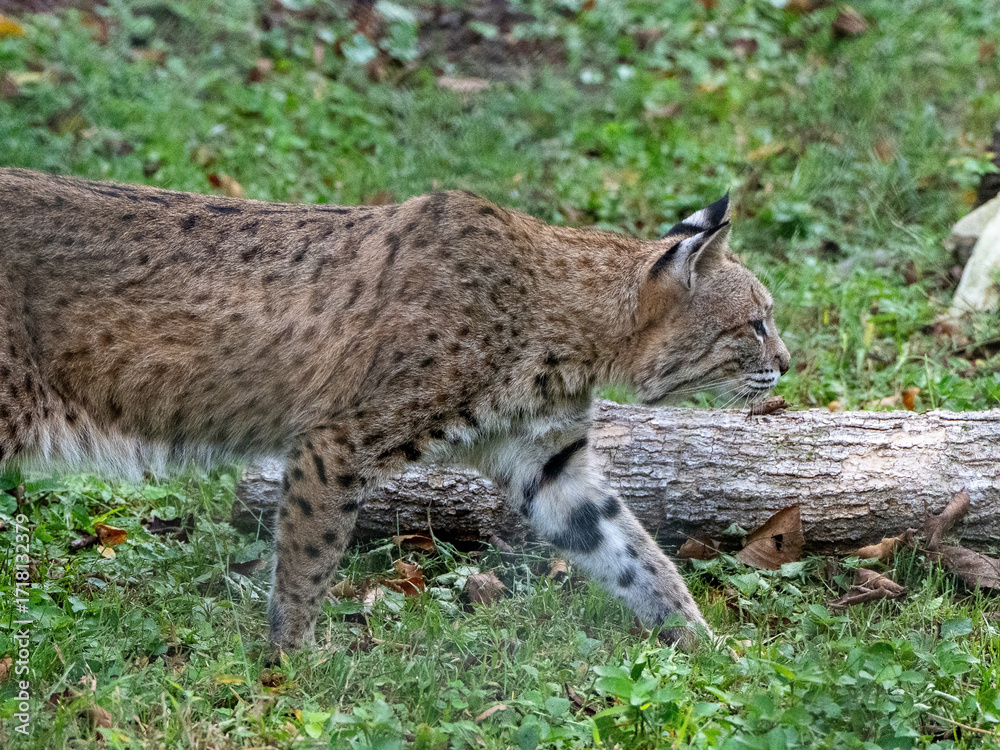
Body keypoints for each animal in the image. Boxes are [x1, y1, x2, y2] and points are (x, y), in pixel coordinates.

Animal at [0, 167, 789, 651]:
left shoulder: (549, 464)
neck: (569, 328)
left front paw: (707, 650)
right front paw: (291, 665)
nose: (787, 365)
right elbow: (309, 560)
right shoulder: (337, 440)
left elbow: (634, 552)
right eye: (756, 324)